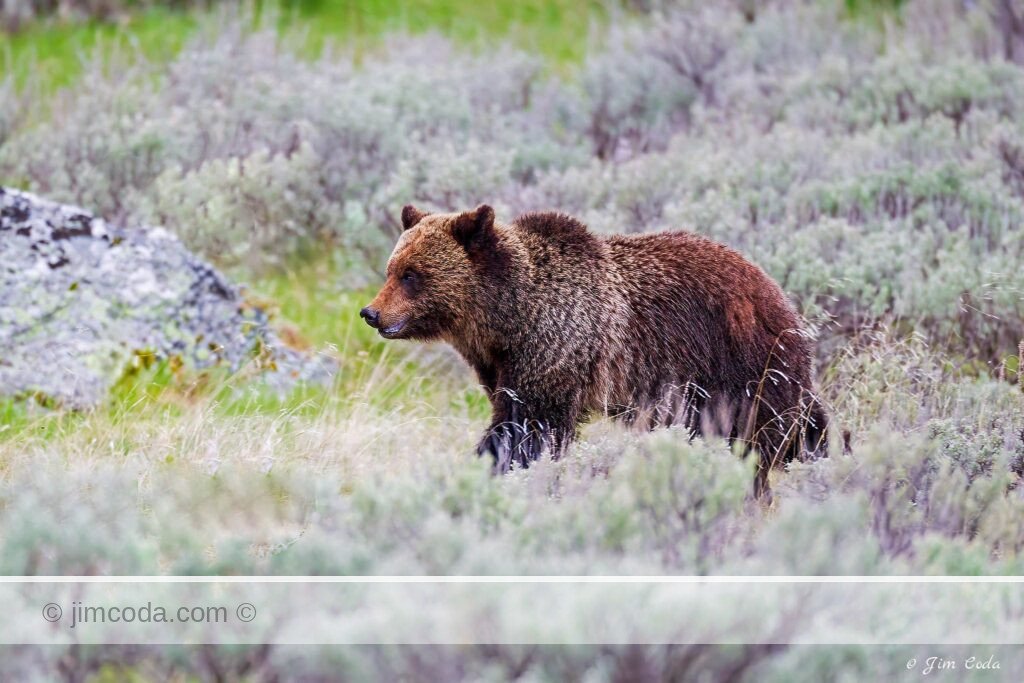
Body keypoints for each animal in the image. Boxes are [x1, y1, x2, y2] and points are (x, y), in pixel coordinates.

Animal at [361, 204, 828, 497]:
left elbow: (529, 427)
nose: (371, 313)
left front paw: (492, 468)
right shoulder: (500, 365)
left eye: (411, 274)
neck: (508, 317)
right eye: (391, 269)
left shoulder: (558, 344)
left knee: (760, 437)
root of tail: (776, 291)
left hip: (740, 362)